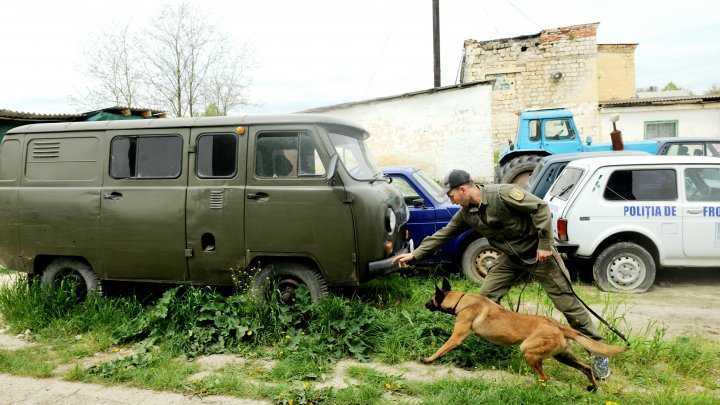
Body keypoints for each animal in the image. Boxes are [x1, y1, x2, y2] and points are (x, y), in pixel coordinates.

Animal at [420, 278, 628, 388]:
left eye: (431, 298)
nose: (424, 305)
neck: (462, 301)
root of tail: (559, 325)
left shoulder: (456, 337)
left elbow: (442, 349)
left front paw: (428, 360)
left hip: (527, 349)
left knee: (545, 377)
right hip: (563, 356)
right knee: (585, 367)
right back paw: (593, 387)